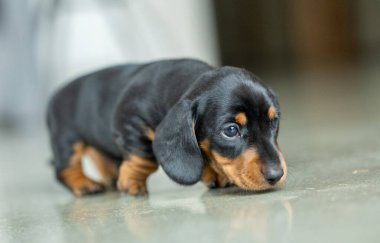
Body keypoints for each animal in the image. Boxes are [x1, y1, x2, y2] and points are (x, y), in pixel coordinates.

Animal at [46, 59, 286, 197]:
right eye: (231, 130)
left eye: (274, 121)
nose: (276, 175)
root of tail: (54, 97)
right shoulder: (131, 122)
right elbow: (144, 159)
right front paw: (131, 182)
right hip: (67, 139)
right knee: (63, 169)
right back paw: (85, 183)